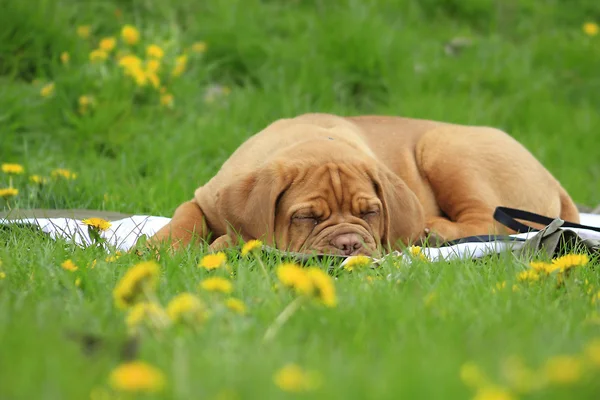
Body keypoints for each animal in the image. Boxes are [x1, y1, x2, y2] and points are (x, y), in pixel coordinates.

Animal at [148, 112, 580, 256]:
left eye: (371, 213)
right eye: (306, 217)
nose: (350, 244)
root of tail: (554, 180)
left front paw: (225, 241)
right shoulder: (205, 198)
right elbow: (185, 217)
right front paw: (156, 247)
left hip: (444, 145)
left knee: (487, 219)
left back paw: (433, 231)